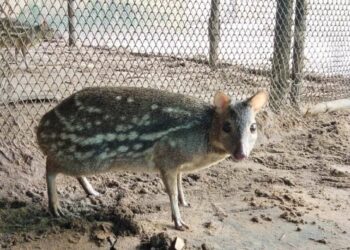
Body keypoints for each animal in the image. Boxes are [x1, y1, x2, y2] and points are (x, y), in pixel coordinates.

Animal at [37, 86, 268, 230]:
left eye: (253, 127)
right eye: (226, 126)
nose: (241, 154)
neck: (203, 132)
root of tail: (40, 128)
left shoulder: (178, 164)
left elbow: (180, 184)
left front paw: (186, 202)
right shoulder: (166, 158)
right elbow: (171, 192)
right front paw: (179, 223)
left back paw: (93, 192)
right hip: (82, 157)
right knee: (49, 166)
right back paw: (56, 208)